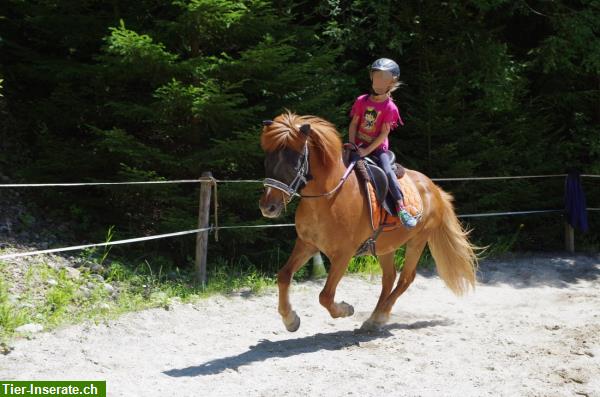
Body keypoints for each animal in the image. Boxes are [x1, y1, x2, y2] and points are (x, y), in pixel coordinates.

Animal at [258, 111, 478, 332]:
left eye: (294, 161)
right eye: (267, 159)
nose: (268, 207)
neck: (329, 197)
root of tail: (434, 188)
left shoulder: (343, 254)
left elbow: (325, 296)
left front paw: (345, 310)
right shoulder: (307, 244)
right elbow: (284, 276)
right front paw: (290, 319)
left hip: (417, 241)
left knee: (406, 278)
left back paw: (380, 316)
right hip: (385, 246)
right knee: (389, 278)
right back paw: (374, 318)